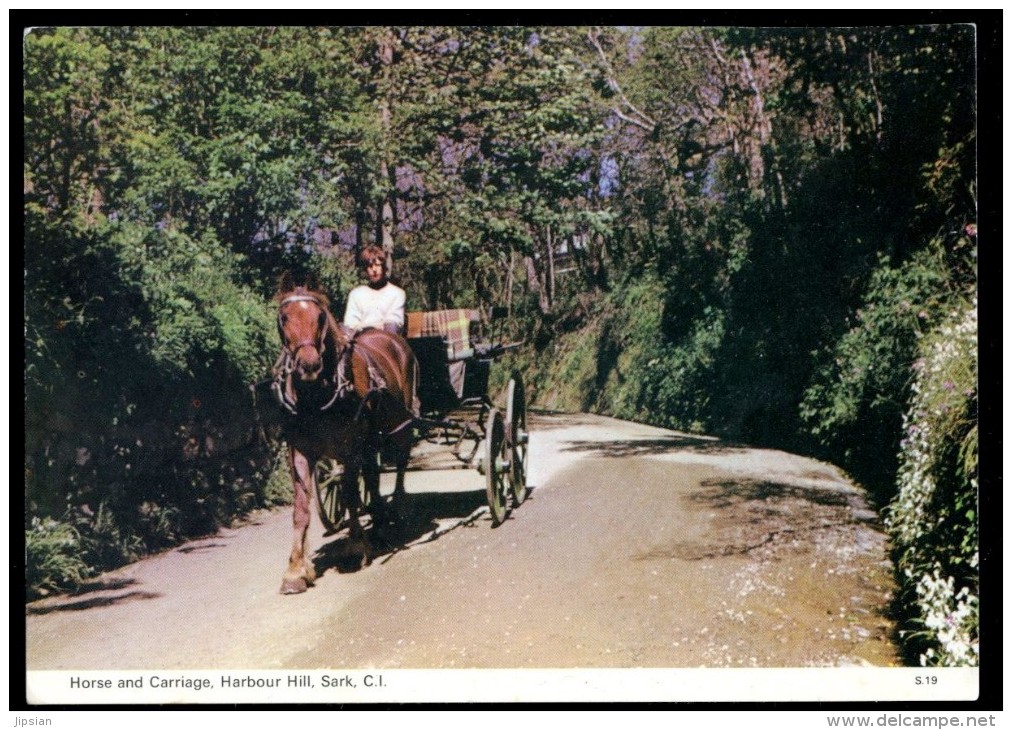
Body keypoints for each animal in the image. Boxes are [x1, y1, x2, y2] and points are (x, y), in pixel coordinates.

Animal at [271, 275, 416, 595]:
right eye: (284, 318)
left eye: (320, 317)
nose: (309, 365)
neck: (316, 397)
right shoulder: (300, 451)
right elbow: (301, 509)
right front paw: (296, 570)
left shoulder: (350, 447)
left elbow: (349, 495)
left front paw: (355, 548)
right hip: (371, 439)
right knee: (373, 476)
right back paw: (378, 521)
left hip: (401, 425)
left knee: (400, 463)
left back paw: (398, 512)